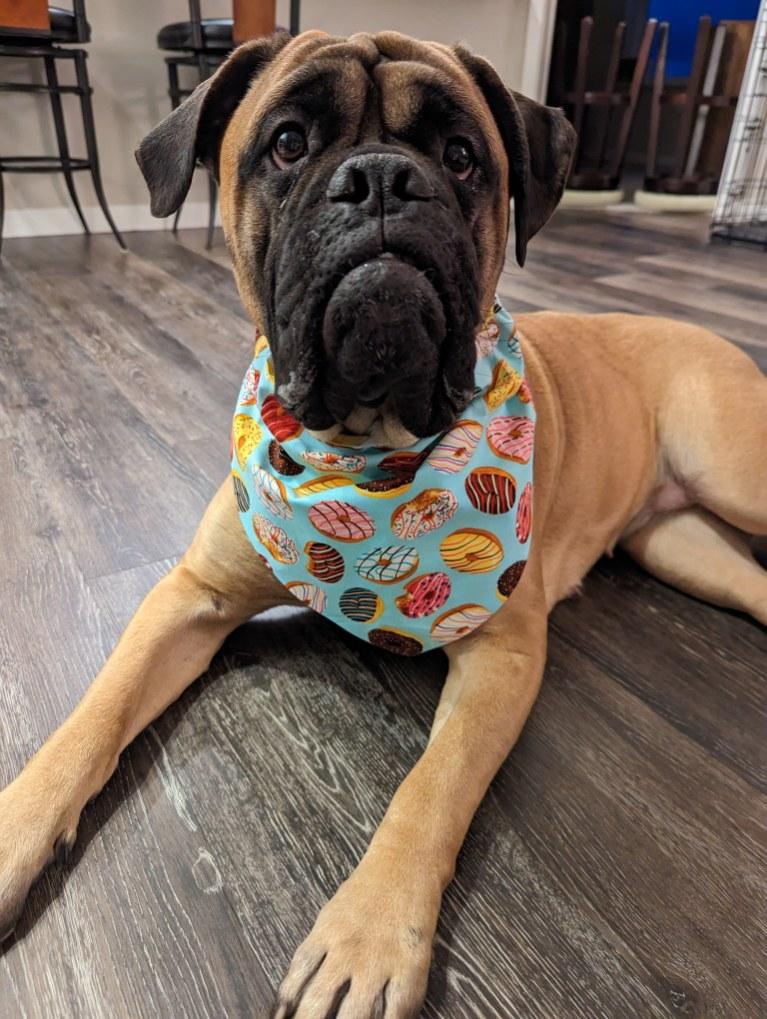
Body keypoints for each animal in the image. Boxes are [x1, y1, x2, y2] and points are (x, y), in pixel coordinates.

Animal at [1, 29, 765, 1019]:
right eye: (287, 143)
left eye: (461, 155)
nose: (378, 179)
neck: (365, 453)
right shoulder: (190, 599)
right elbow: (93, 713)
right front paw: (16, 826)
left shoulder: (503, 654)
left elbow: (428, 788)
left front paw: (363, 937)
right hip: (682, 545)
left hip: (730, 467)